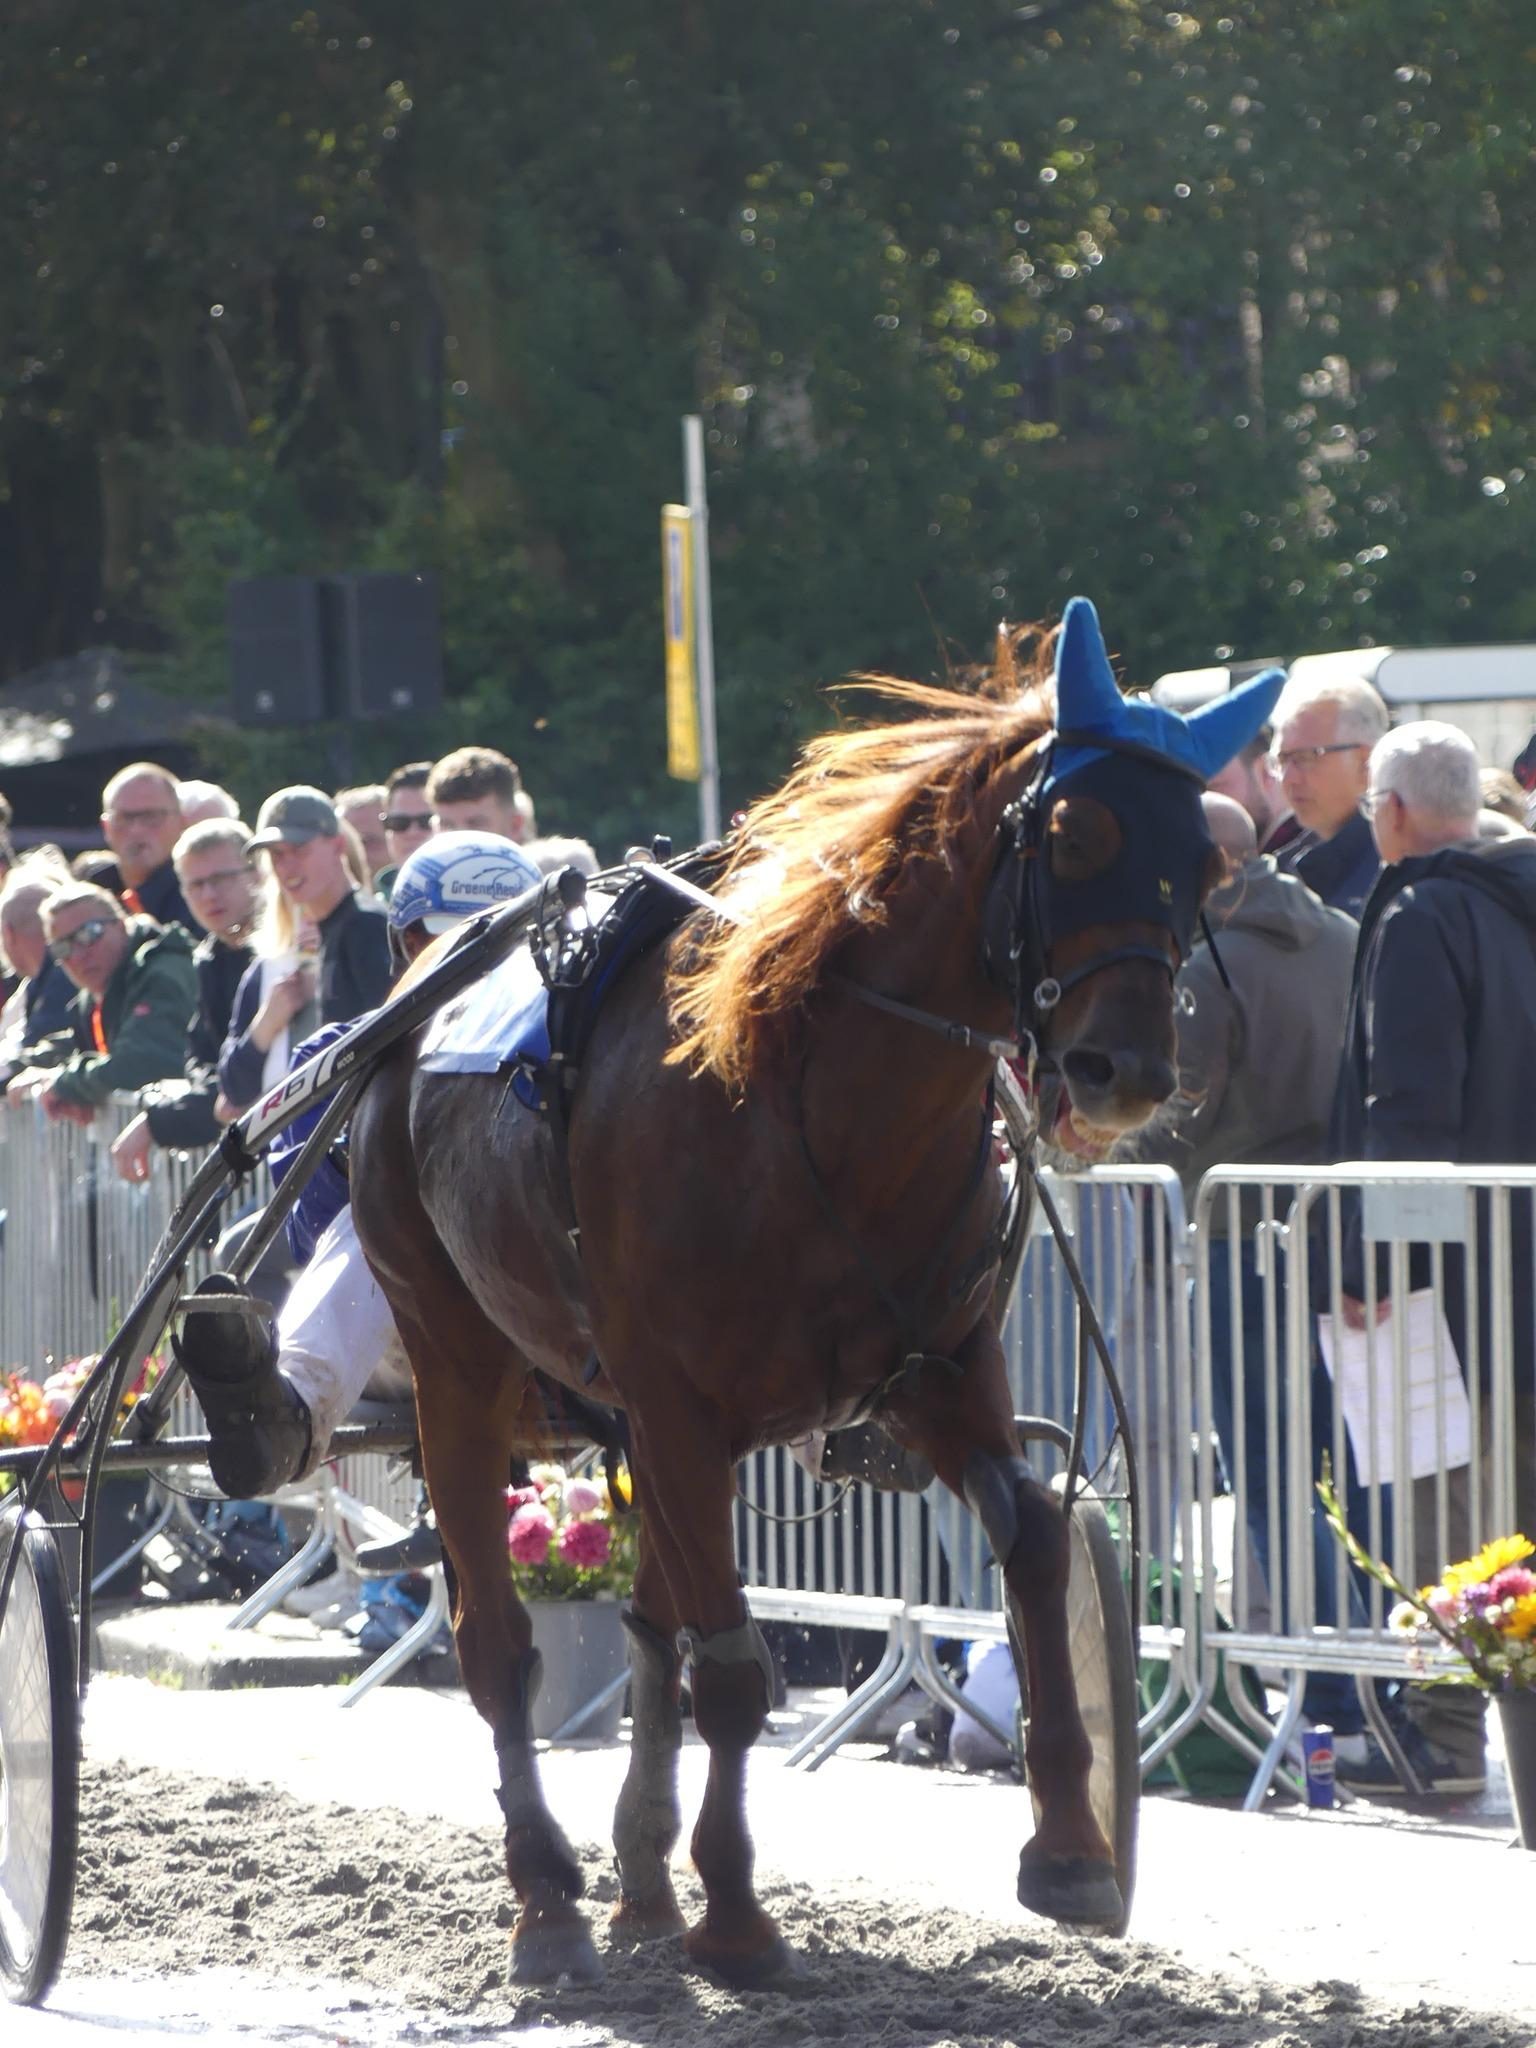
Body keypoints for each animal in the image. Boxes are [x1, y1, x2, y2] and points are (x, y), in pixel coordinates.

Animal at [348, 602, 1286, 1982]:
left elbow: (1032, 1536)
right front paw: (737, 1912)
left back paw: (638, 1883)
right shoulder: (676, 1404)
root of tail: (408, 1004)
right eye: (1073, 833)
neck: (816, 1111)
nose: (1127, 1071)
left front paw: (1072, 1841)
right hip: (455, 1353)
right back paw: (551, 1897)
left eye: (1208, 865)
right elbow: (736, 1672)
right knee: (500, 1642)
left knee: (648, 1625)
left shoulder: (942, 1369)